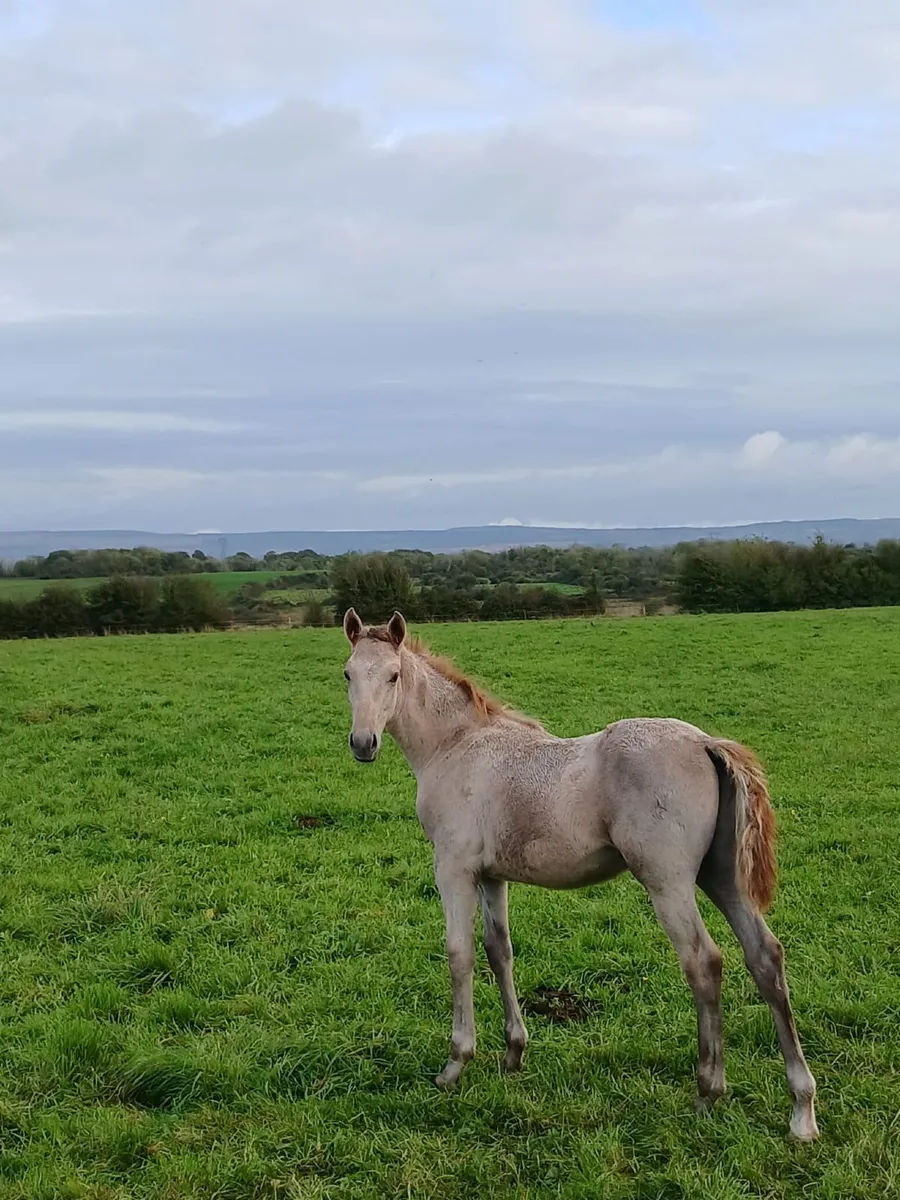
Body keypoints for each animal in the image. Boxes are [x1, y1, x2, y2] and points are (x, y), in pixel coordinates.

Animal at [340, 608, 818, 1142]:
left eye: (393, 676)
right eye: (348, 675)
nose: (363, 743)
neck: (456, 746)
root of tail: (705, 742)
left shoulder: (453, 869)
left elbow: (459, 955)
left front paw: (456, 1064)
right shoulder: (492, 876)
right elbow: (499, 951)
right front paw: (513, 1052)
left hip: (667, 881)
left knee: (704, 961)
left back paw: (707, 1091)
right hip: (720, 877)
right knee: (765, 957)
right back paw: (801, 1109)